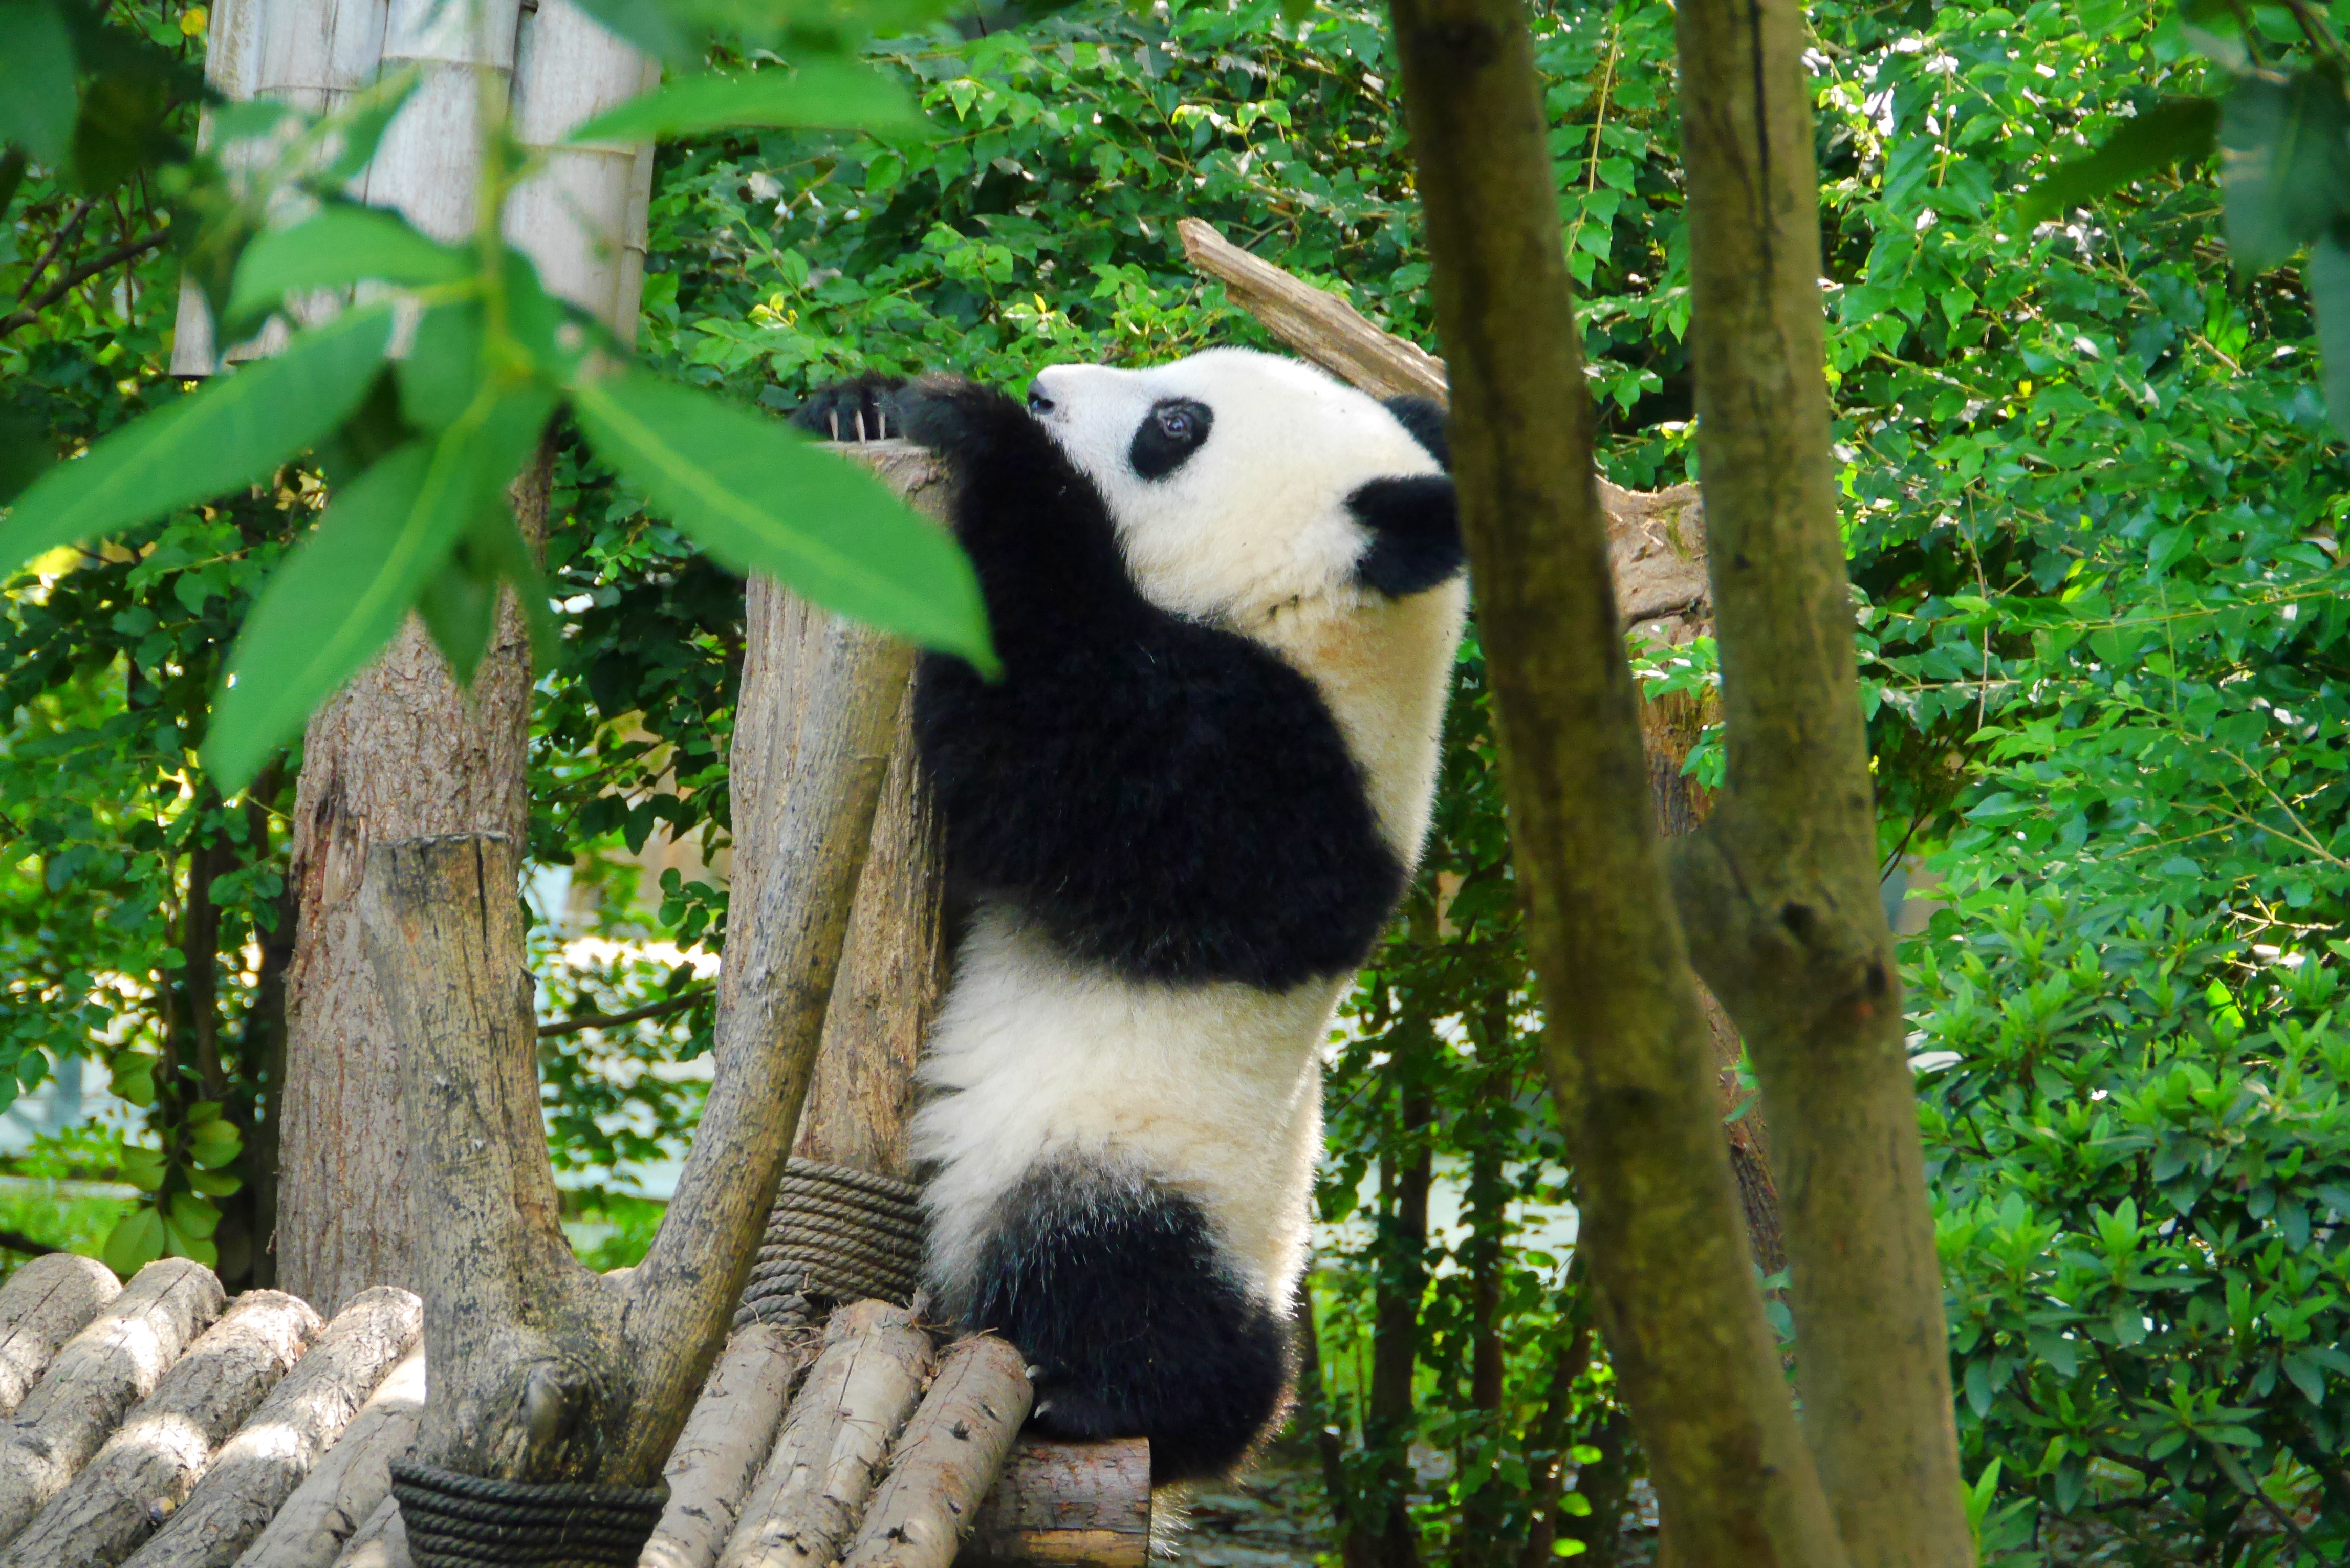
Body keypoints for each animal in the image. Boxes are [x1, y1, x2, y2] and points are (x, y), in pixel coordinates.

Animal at [799, 350, 1457, 1495]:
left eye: (1176, 424)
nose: (1044, 388)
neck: (1313, 627)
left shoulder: (1275, 780)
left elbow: (1058, 744)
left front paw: (987, 434)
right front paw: (856, 406)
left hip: (1144, 1163)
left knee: (1123, 1273)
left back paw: (1100, 1392)